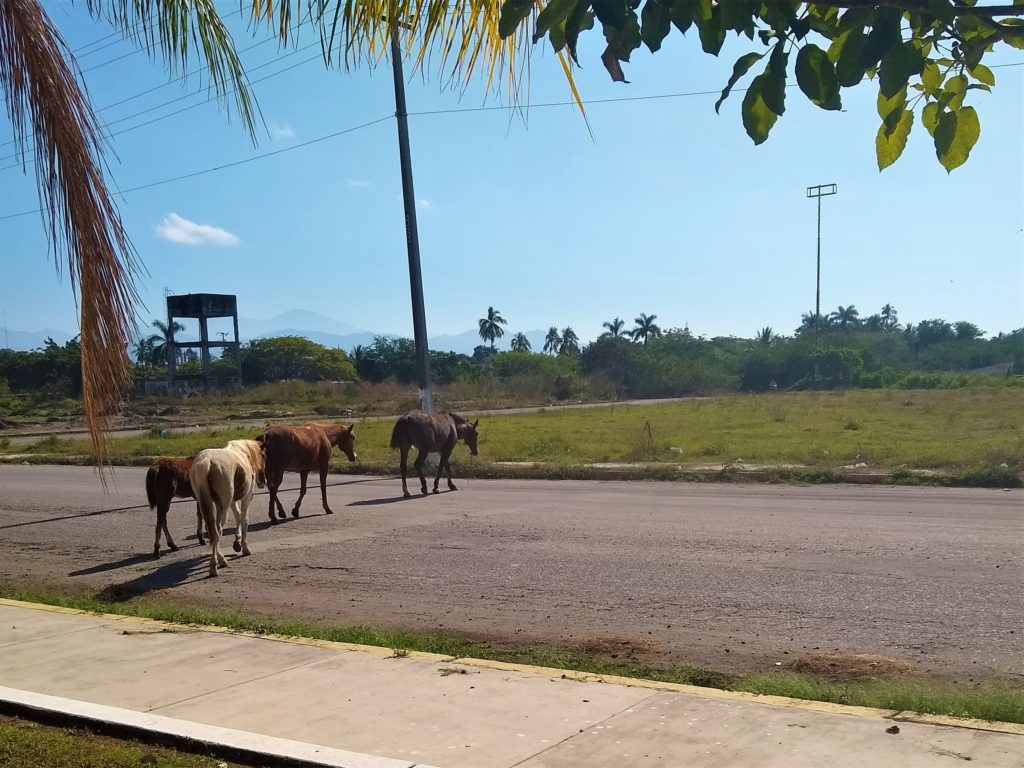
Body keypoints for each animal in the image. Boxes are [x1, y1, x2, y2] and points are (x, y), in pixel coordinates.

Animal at [189, 438, 266, 577]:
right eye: (264, 456)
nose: (264, 482)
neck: (243, 453)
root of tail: (205, 462)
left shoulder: (232, 501)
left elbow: (238, 516)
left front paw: (237, 542)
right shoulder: (247, 497)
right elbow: (244, 519)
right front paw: (245, 547)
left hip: (207, 503)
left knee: (212, 530)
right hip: (223, 506)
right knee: (217, 530)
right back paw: (216, 565)